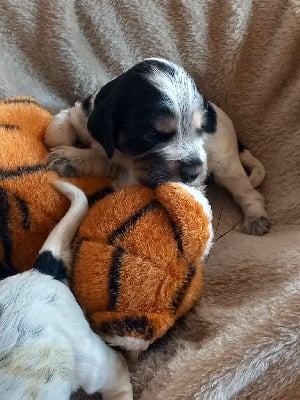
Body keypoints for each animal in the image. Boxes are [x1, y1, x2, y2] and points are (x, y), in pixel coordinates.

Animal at [45, 57, 270, 236]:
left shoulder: (129, 173)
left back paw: (256, 218)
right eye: (151, 135)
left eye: (201, 130)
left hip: (227, 164)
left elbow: (101, 158)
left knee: (247, 192)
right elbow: (56, 131)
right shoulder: (82, 115)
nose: (193, 173)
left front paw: (69, 158)